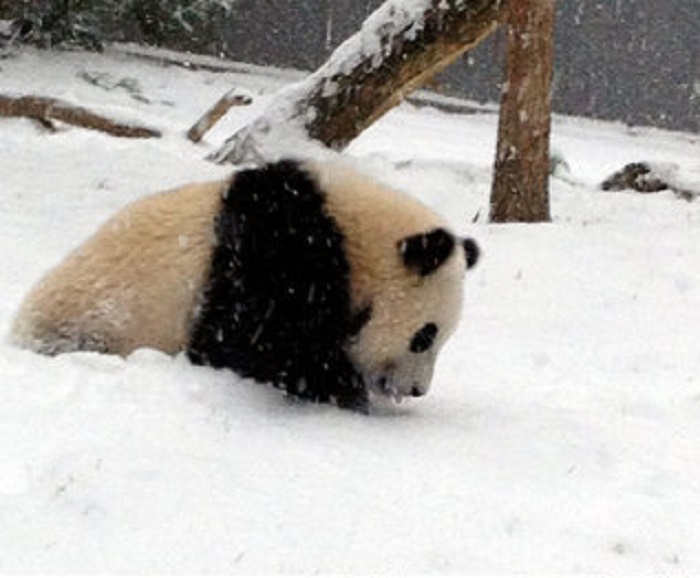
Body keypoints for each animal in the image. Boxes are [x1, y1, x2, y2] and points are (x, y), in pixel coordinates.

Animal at [12, 159, 482, 410]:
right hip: (91, 321)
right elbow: (256, 339)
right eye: (424, 336)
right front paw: (339, 386)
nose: (417, 391)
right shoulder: (275, 252)